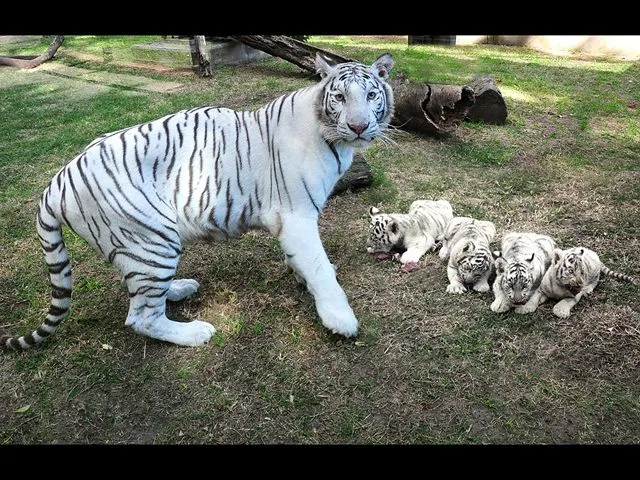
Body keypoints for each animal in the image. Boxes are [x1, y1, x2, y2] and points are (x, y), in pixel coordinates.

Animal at [1, 53, 396, 352]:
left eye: (371, 96)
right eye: (340, 98)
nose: (359, 127)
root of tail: (57, 179)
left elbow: (304, 261)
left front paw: (301, 277)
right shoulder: (297, 215)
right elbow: (320, 266)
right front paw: (340, 319)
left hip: (134, 246)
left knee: (136, 289)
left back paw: (178, 288)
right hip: (153, 238)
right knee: (141, 316)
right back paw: (195, 332)